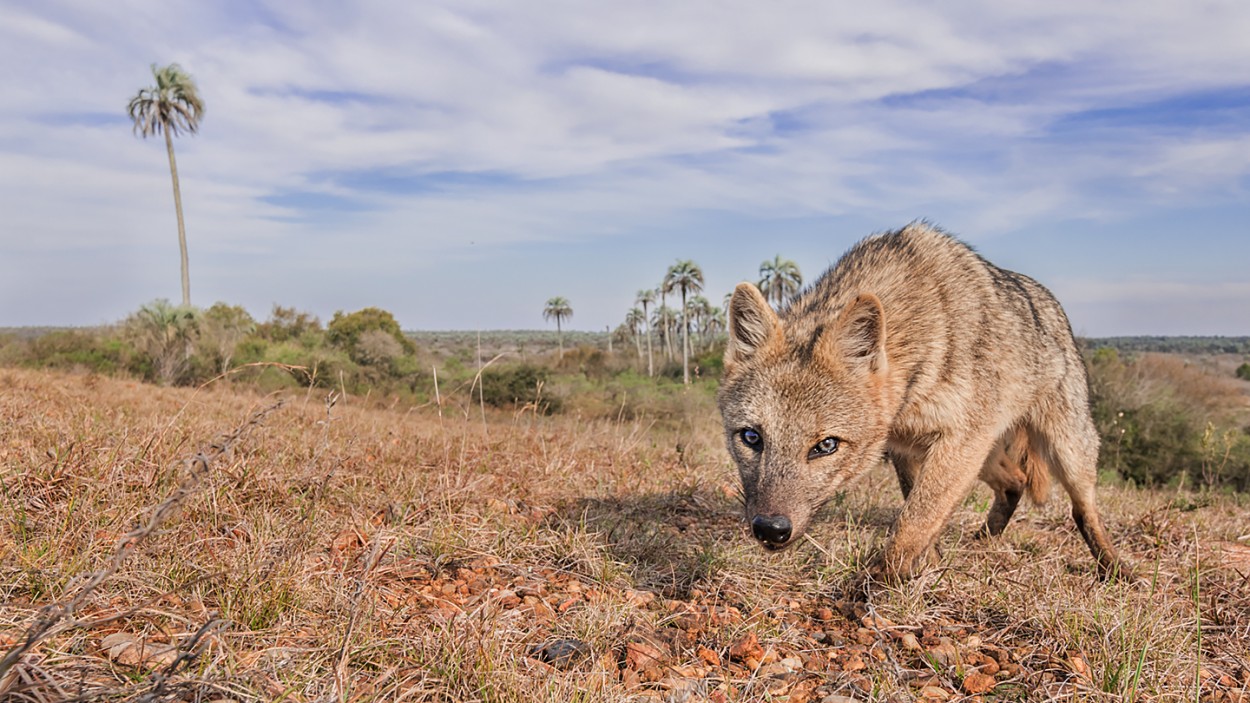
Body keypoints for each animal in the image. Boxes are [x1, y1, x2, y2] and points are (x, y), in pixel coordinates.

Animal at [715, 220, 1135, 580]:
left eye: (826, 446)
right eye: (751, 438)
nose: (771, 530)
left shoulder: (958, 442)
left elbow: (915, 519)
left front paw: (878, 588)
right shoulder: (909, 449)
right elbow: (917, 511)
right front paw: (927, 566)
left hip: (1064, 453)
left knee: (1084, 509)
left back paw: (1114, 568)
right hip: (984, 457)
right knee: (1014, 482)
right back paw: (983, 542)